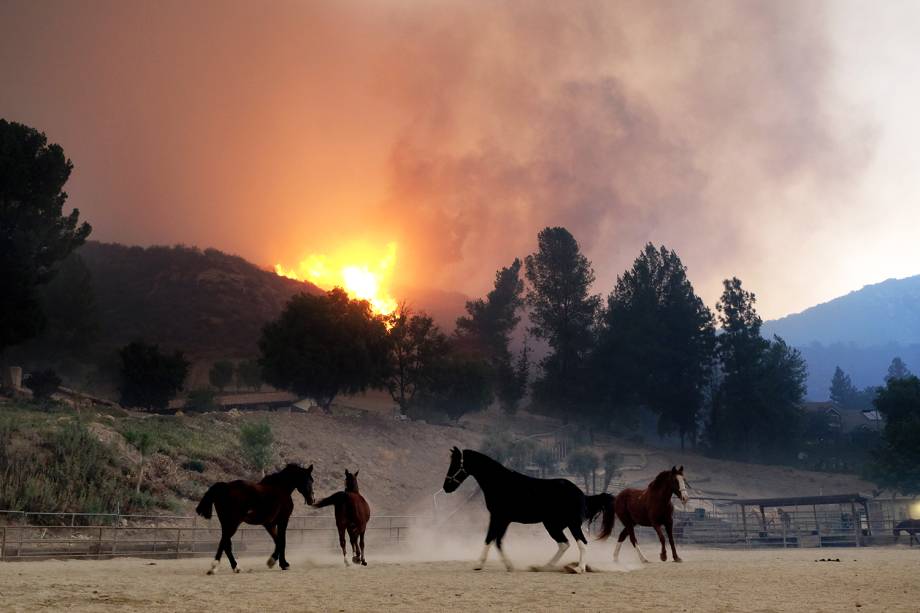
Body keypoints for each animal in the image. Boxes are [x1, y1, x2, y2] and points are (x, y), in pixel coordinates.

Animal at [442, 448, 616, 572]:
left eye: (455, 464)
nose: (446, 487)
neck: (500, 482)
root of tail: (582, 494)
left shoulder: (499, 517)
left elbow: (490, 538)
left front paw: (479, 564)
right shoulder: (503, 519)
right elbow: (497, 540)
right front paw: (507, 565)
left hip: (570, 524)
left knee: (581, 543)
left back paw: (579, 568)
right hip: (554, 525)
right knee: (564, 544)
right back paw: (544, 567)